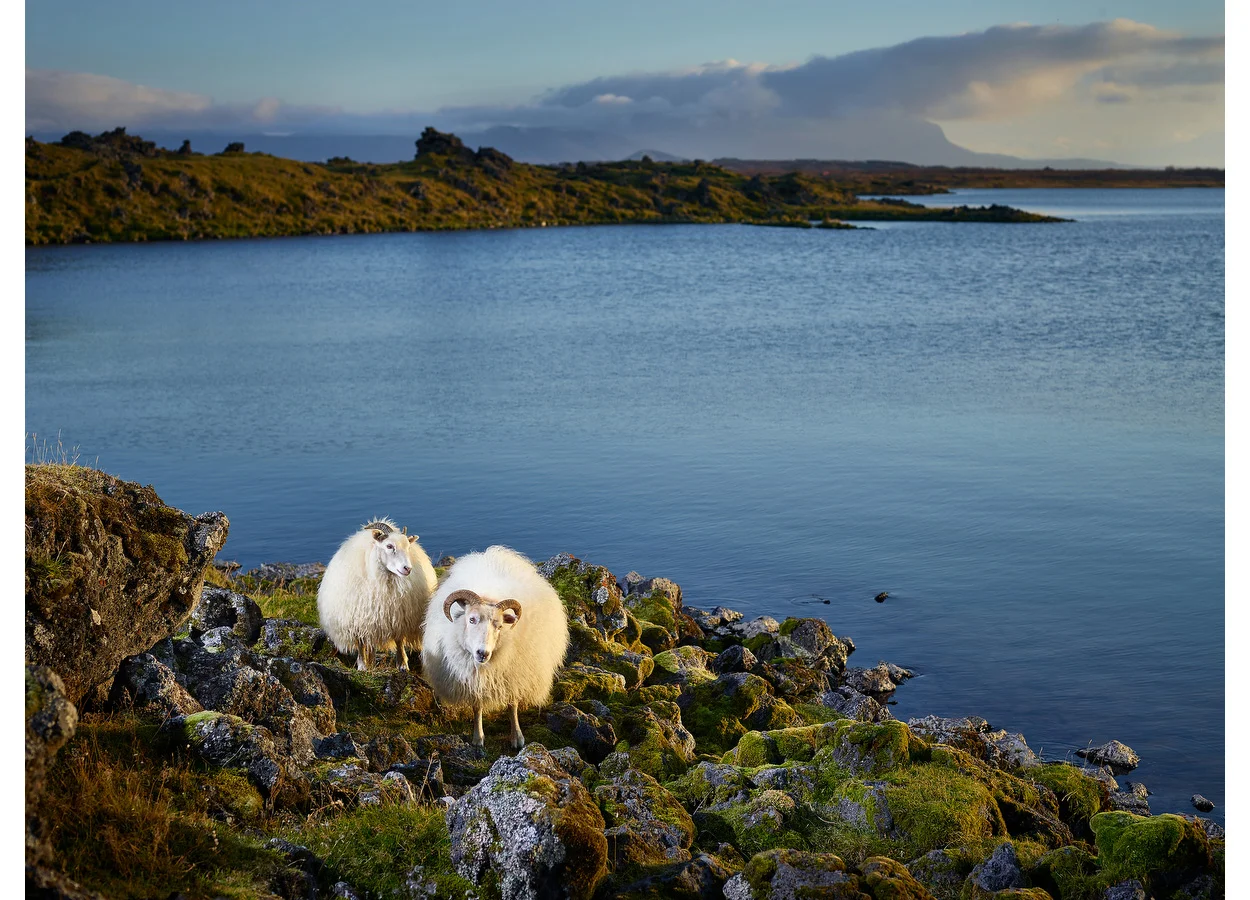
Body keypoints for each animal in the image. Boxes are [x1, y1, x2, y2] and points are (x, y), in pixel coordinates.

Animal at [317, 517, 440, 670]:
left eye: (408, 547)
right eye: (389, 546)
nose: (407, 569)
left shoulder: (398, 617)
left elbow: (399, 640)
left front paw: (402, 665)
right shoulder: (357, 621)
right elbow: (360, 644)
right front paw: (362, 666)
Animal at [425, 545, 572, 750]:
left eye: (499, 625)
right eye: (472, 619)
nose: (482, 653)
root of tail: (494, 554)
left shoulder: (513, 674)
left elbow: (512, 705)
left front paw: (517, 736)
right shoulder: (474, 679)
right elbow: (477, 706)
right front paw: (478, 738)